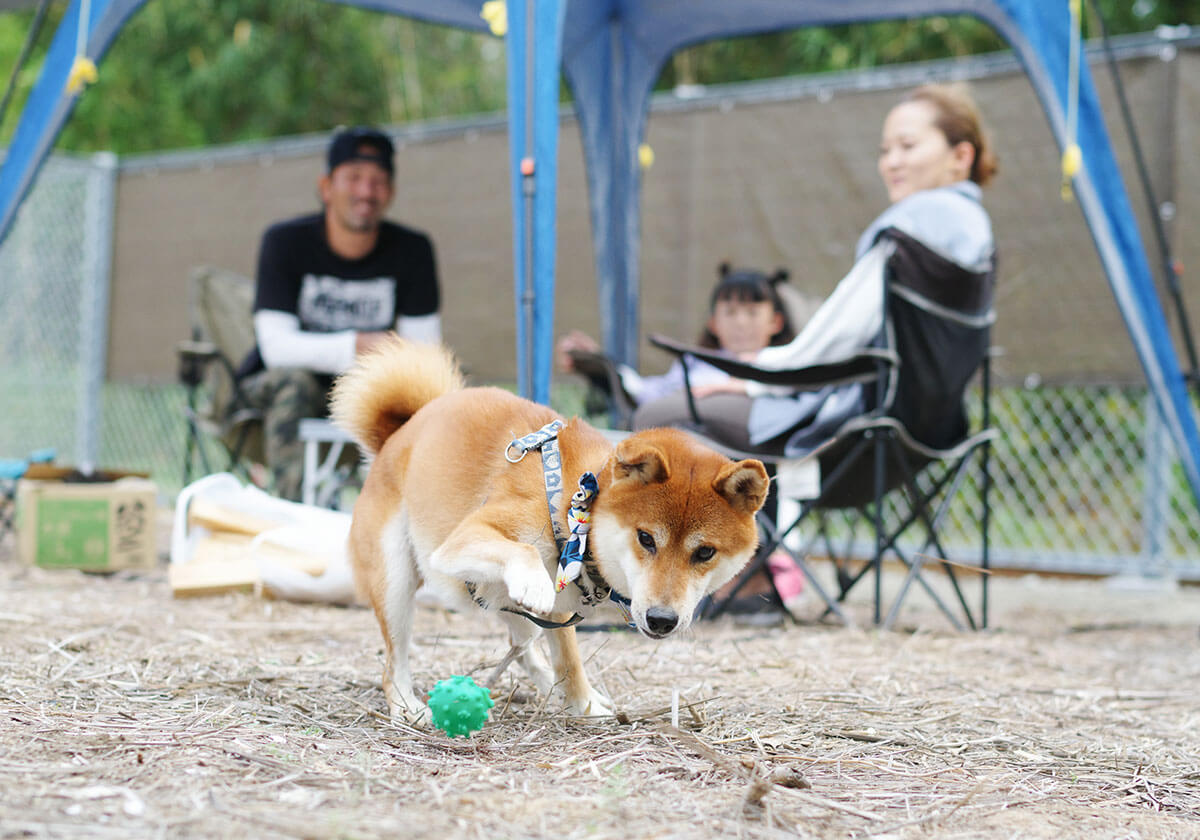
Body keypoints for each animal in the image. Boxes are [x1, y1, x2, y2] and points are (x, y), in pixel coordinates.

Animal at [331, 333, 768, 720]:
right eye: (646, 539)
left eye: (705, 552)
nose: (662, 620)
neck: (578, 503)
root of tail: (399, 432)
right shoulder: (462, 542)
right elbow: (524, 555)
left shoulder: (561, 606)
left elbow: (569, 660)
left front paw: (585, 707)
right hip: (397, 582)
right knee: (393, 663)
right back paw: (408, 707)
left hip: (497, 598)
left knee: (521, 643)